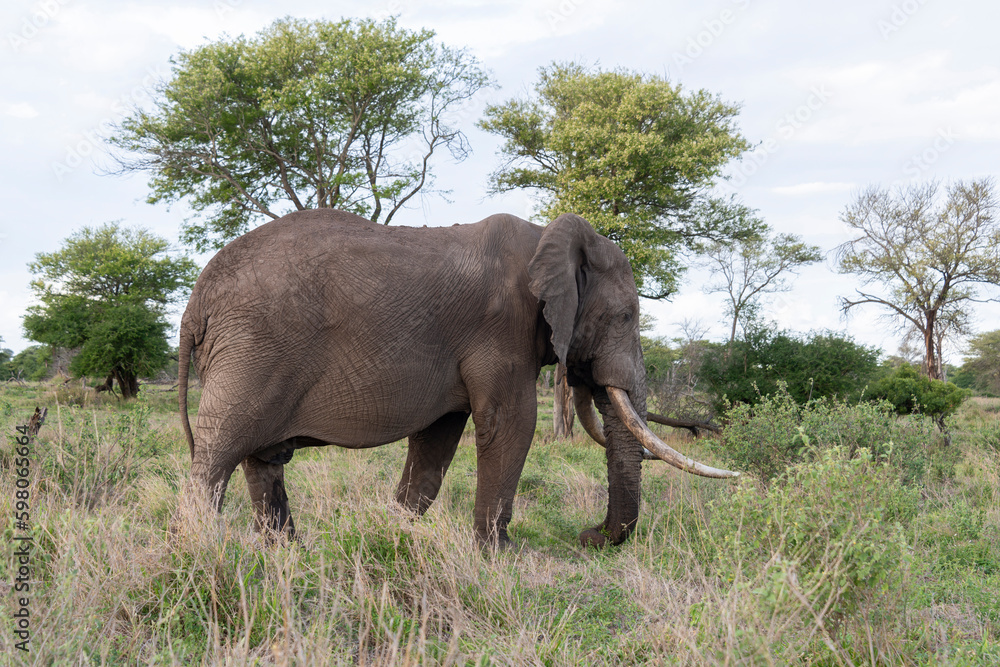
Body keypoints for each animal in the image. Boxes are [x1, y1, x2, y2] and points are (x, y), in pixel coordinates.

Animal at [178, 209, 736, 548]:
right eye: (625, 317)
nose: (588, 536)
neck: (548, 237)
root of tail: (194, 302)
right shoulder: (503, 328)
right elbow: (510, 426)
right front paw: (500, 553)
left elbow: (437, 440)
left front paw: (394, 533)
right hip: (251, 353)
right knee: (216, 457)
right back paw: (204, 550)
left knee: (263, 459)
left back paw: (286, 553)